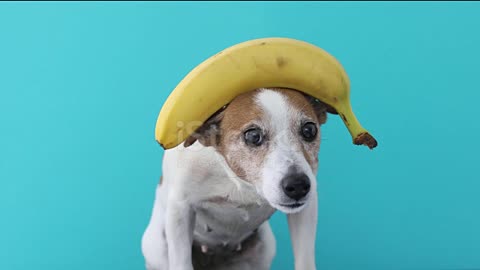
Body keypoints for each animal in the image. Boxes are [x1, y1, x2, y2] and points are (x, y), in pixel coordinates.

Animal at [141, 87, 328, 268]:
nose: (298, 185)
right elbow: (181, 263)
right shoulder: (180, 208)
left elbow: (304, 260)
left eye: (309, 130)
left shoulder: (306, 209)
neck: (237, 179)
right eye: (253, 136)